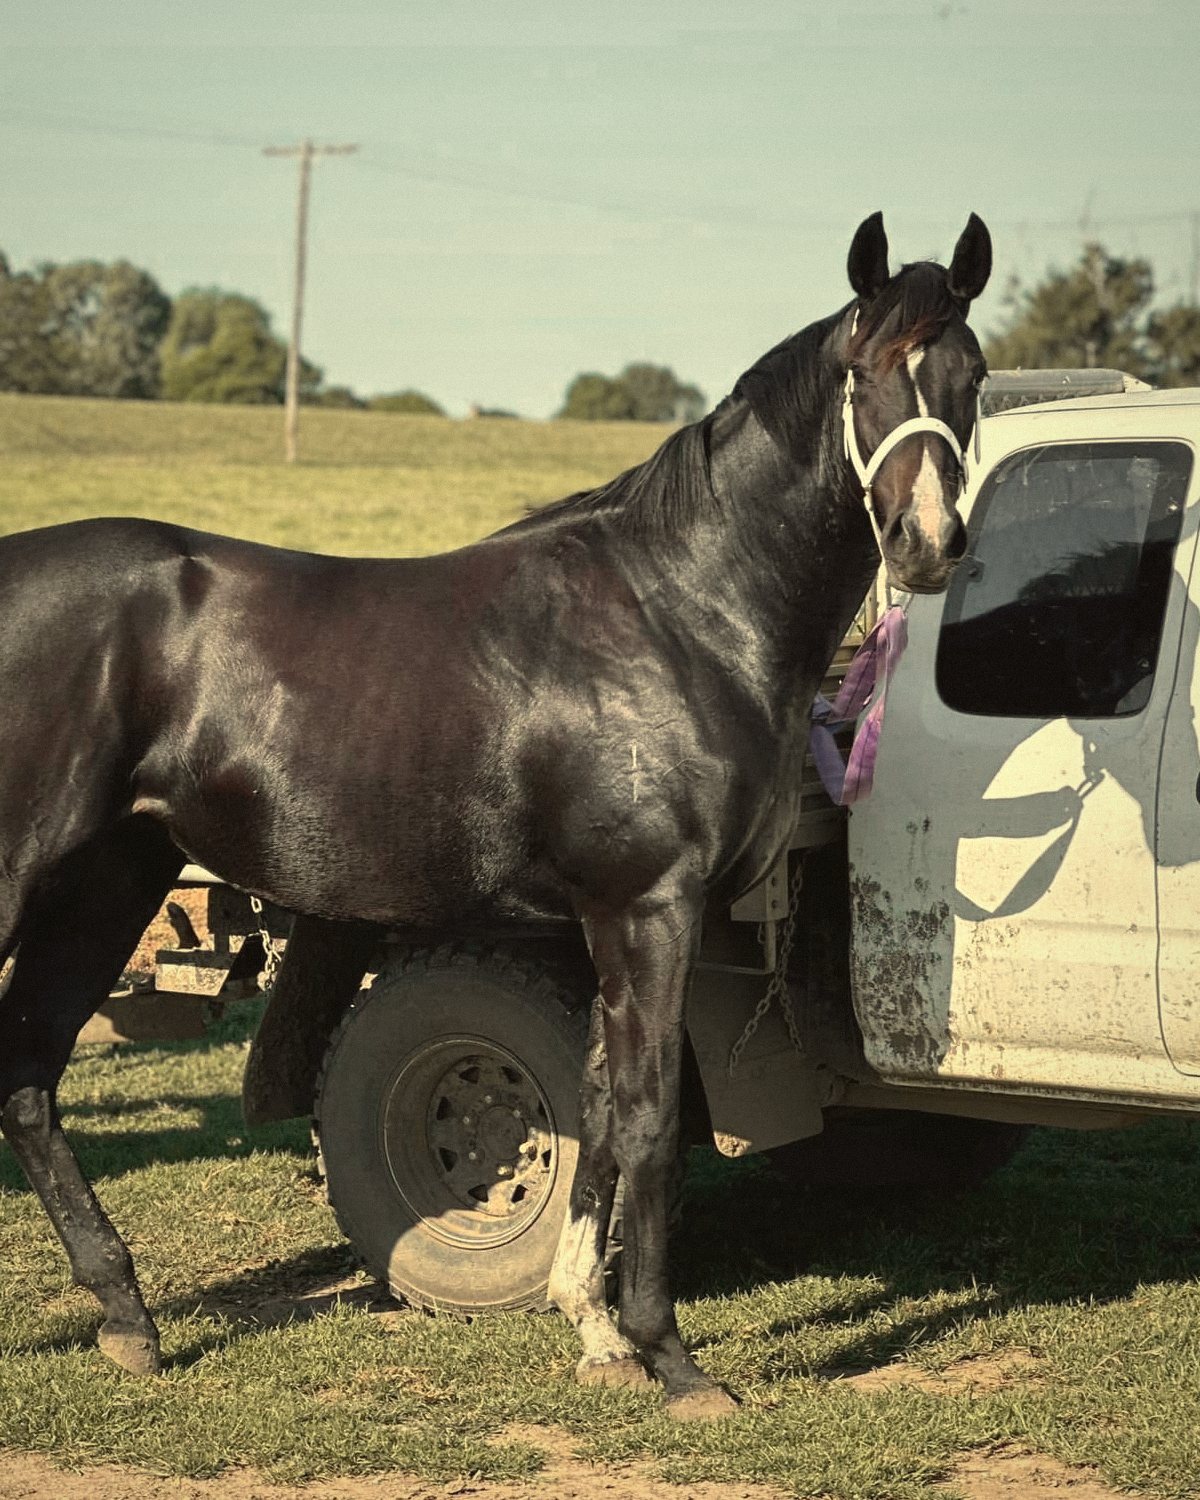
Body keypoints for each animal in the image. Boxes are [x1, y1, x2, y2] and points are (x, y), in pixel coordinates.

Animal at [0, 210, 991, 1418]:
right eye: (867, 371)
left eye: (972, 376)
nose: (928, 543)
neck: (683, 611)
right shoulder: (651, 909)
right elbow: (648, 1115)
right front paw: (670, 1356)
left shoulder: (615, 924)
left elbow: (601, 1106)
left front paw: (597, 1329)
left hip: (105, 883)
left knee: (29, 1078)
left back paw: (129, 1321)